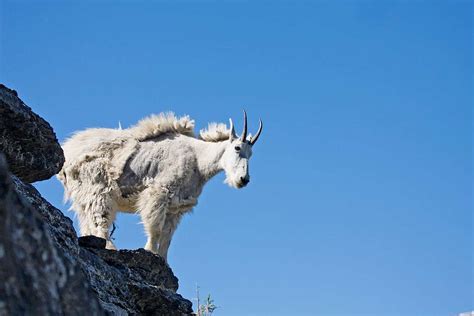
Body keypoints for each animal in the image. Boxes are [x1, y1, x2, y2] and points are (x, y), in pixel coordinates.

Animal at [58, 112, 262, 260]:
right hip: (98, 189)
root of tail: (69, 152)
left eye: (251, 153)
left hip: (83, 195)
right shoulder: (159, 194)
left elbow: (166, 239)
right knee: (100, 222)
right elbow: (155, 229)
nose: (243, 179)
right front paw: (149, 252)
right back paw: (110, 248)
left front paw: (163, 262)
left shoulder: (176, 208)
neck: (198, 160)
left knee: (87, 222)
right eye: (237, 148)